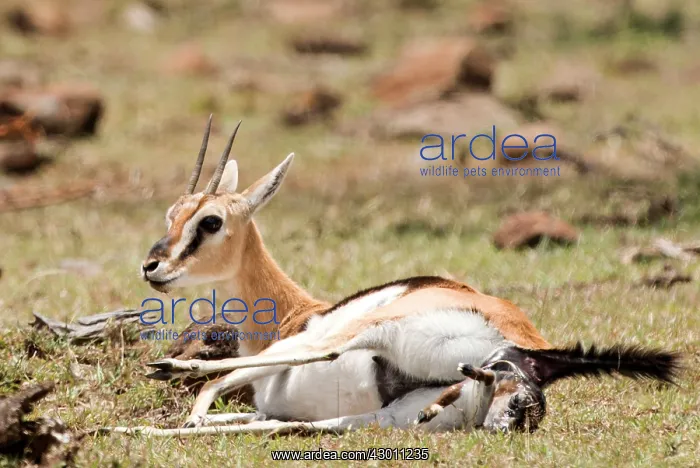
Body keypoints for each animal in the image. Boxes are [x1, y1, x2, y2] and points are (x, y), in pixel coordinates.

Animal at [110, 117, 680, 436]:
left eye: (210, 222)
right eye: (172, 214)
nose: (152, 267)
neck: (291, 316)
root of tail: (530, 349)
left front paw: (181, 387)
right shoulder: (275, 410)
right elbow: (252, 421)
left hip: (371, 332)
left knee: (315, 357)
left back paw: (169, 375)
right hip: (383, 417)